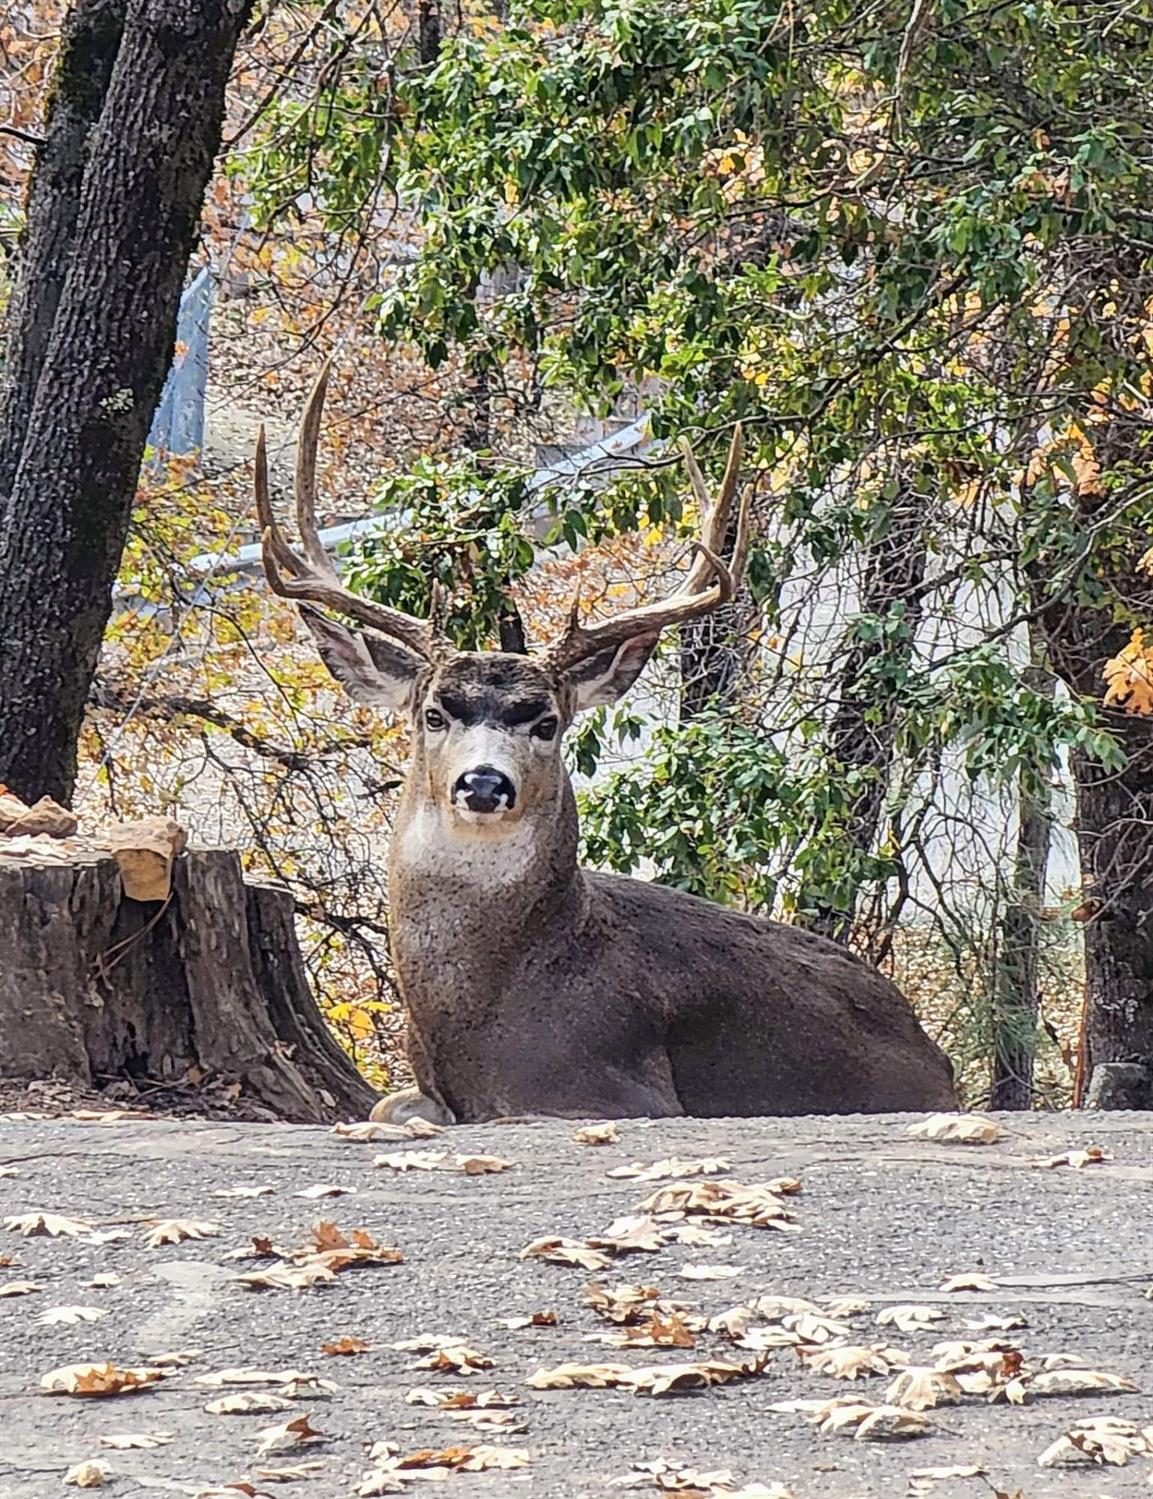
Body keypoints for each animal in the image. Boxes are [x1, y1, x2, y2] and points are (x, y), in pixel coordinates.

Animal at [256, 368, 959, 1127]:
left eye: (545, 721)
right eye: (435, 713)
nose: (483, 784)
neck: (480, 1009)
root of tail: (934, 1052)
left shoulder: (623, 1090)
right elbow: (387, 1106)